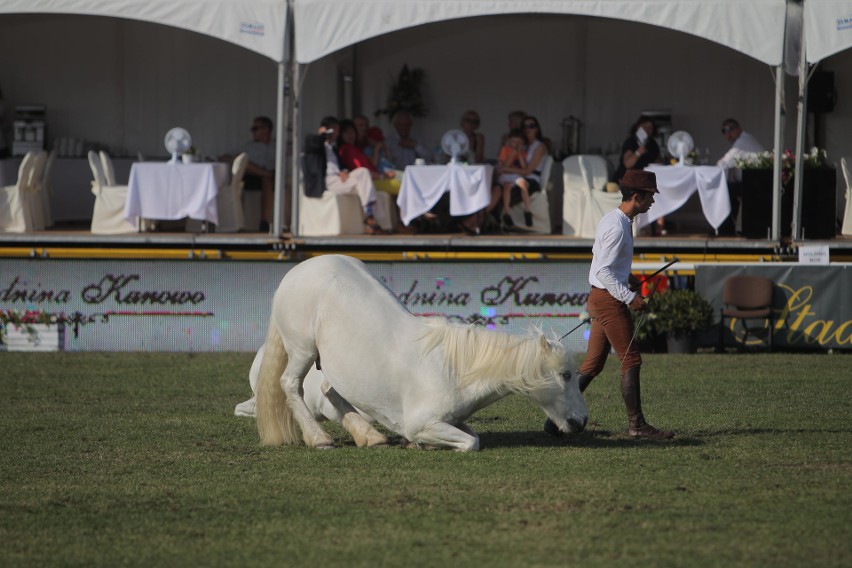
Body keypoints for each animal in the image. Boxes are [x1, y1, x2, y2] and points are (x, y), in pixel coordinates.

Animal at [255, 255, 584, 450]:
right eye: (565, 375)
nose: (581, 422)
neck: (454, 370)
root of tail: (298, 270)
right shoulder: (423, 423)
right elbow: (471, 443)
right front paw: (422, 444)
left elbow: (474, 436)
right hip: (302, 349)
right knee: (290, 384)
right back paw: (318, 438)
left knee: (329, 389)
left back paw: (370, 436)